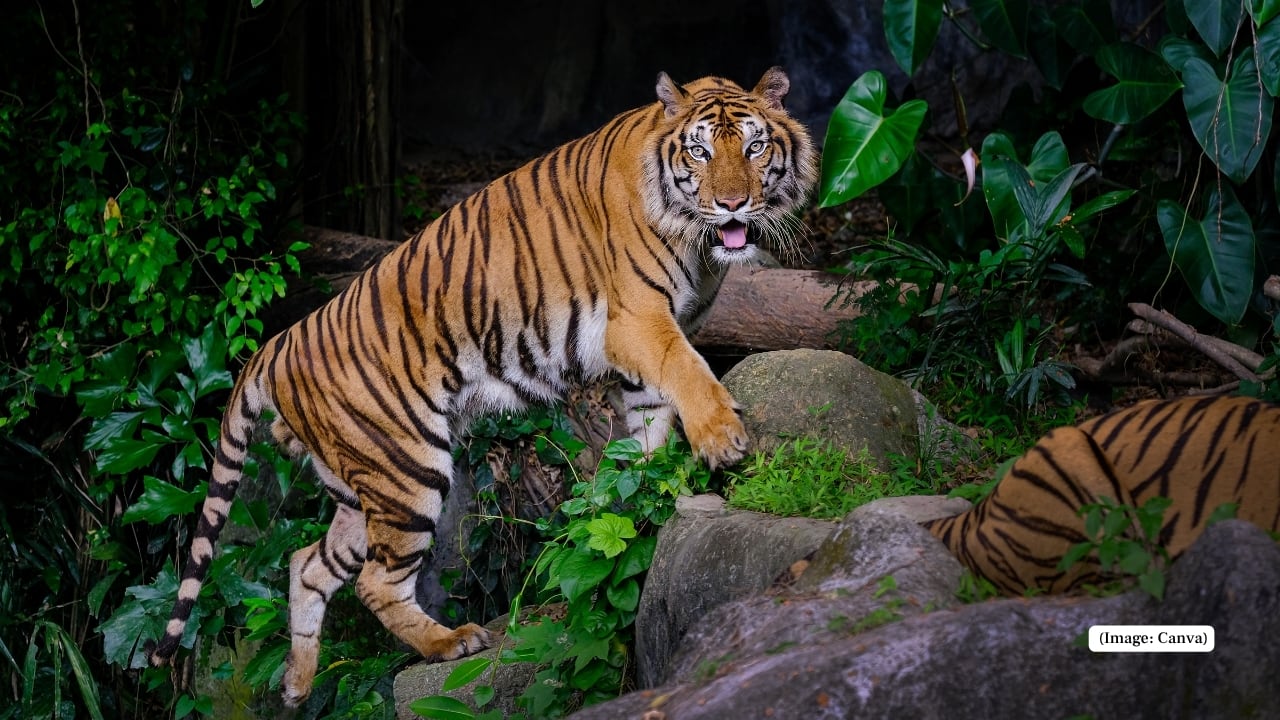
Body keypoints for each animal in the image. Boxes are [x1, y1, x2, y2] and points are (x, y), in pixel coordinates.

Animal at [146, 67, 817, 706]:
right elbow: (688, 371)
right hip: (407, 468)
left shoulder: (642, 355)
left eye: (755, 147)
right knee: (373, 581)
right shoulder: (639, 321)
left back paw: (297, 683)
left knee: (306, 563)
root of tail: (279, 342)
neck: (701, 246)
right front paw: (722, 439)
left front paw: (646, 502)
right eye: (699, 153)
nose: (732, 205)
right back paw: (449, 643)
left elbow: (649, 434)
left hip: (360, 486)